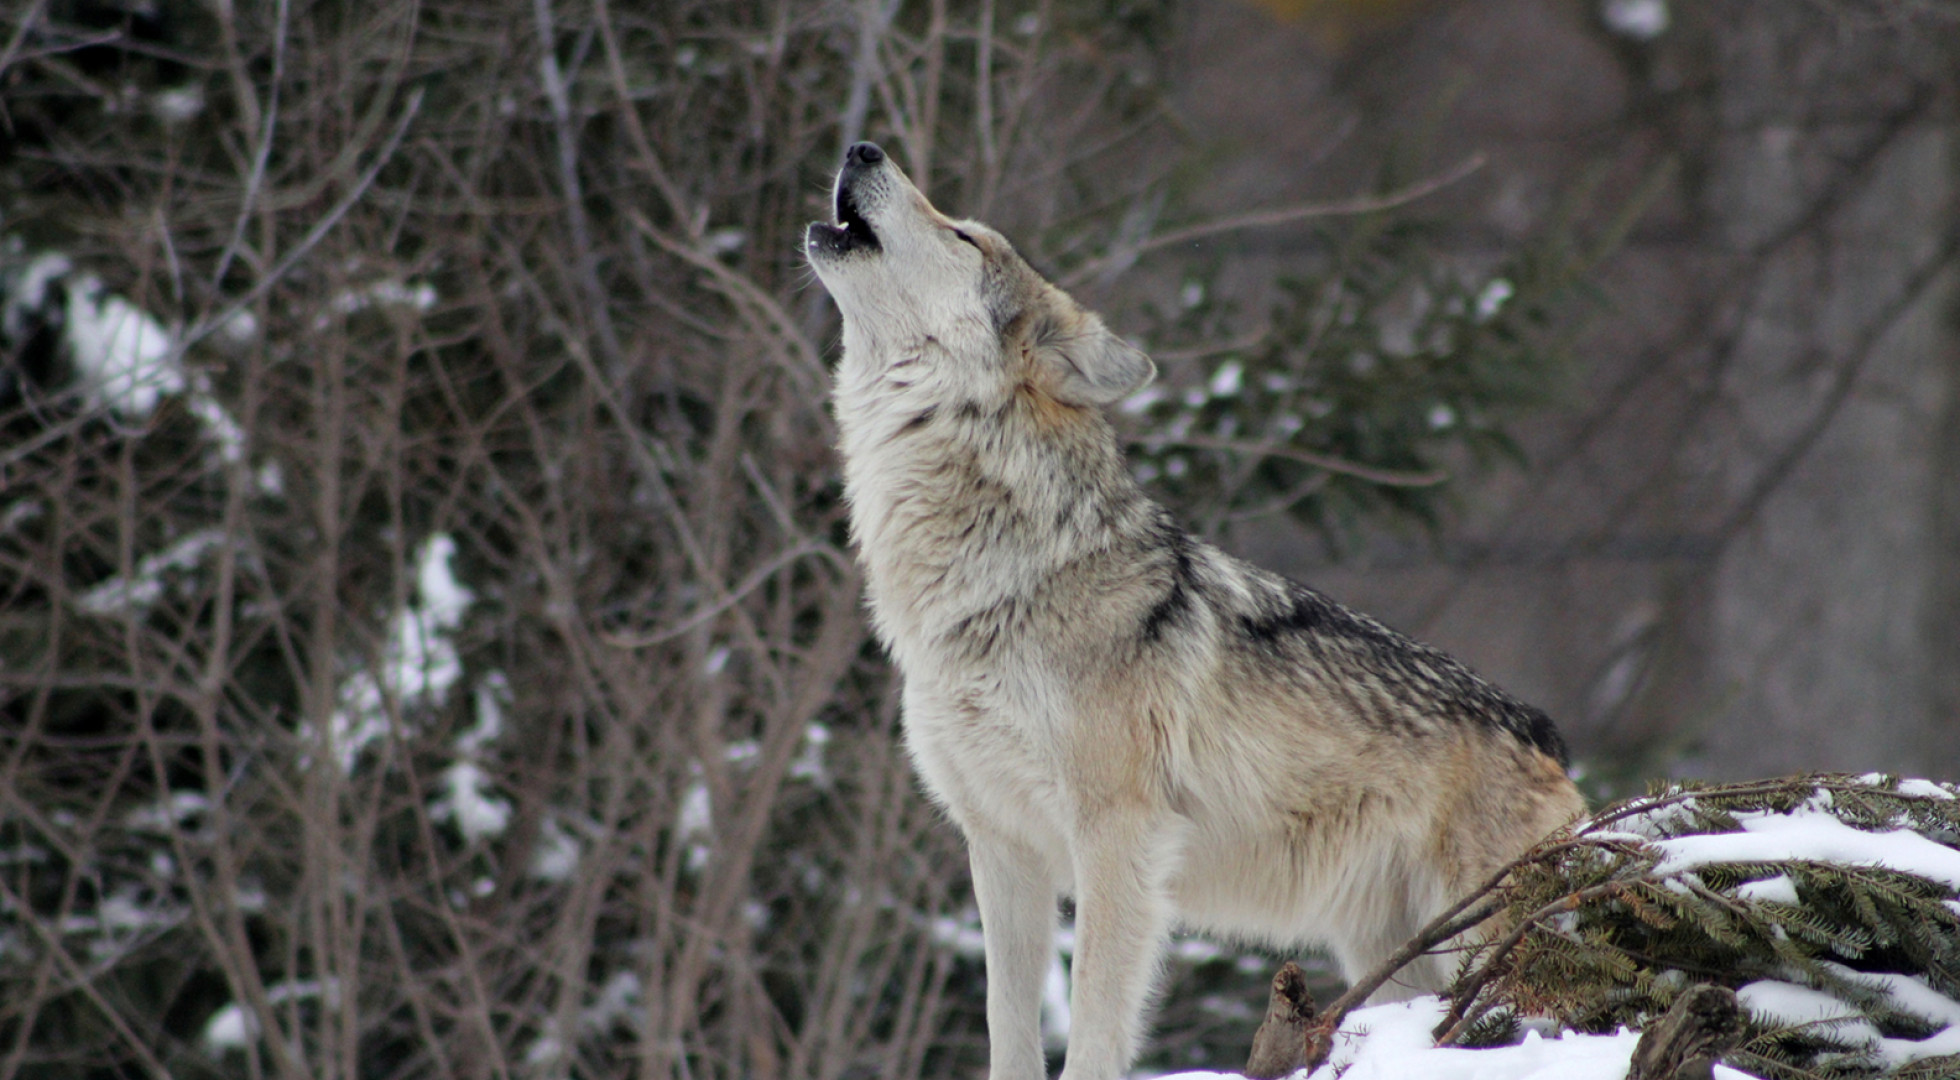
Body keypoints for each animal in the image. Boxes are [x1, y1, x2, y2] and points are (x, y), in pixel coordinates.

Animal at [805, 142, 1585, 1080]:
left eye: (963, 234)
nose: (862, 148)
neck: (997, 579)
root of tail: (1545, 733)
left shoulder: (1118, 838)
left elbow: (1094, 1025)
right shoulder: (1000, 847)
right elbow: (1008, 1027)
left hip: (1478, 942)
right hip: (1391, 958)